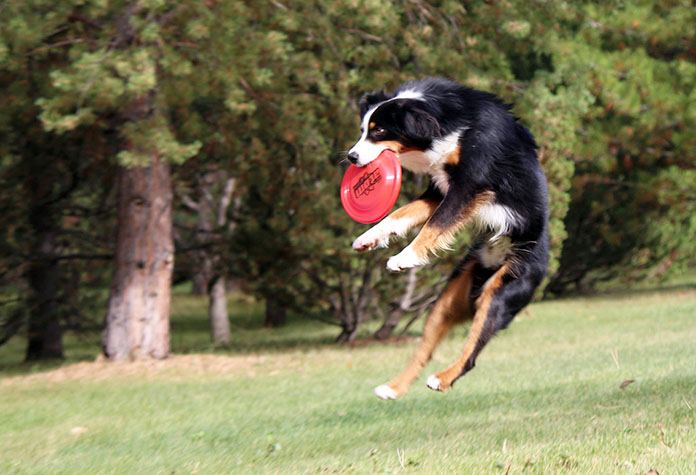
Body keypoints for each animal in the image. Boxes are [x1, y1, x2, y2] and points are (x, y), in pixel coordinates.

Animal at [348, 79, 548, 402]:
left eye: (379, 131)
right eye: (364, 128)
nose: (351, 157)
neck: (443, 121)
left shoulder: (470, 184)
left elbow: (436, 223)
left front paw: (403, 258)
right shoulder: (438, 189)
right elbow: (400, 214)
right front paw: (369, 237)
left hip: (503, 291)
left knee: (472, 354)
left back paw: (442, 379)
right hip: (447, 299)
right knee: (424, 350)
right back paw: (392, 388)